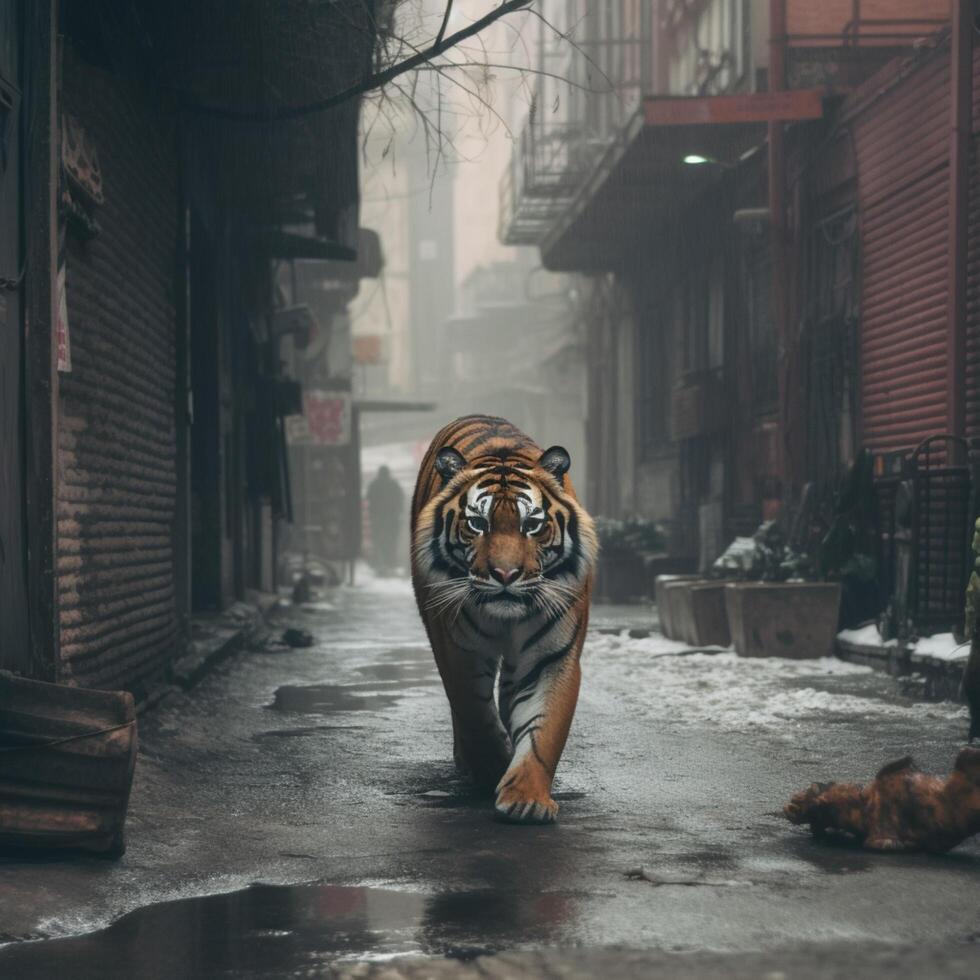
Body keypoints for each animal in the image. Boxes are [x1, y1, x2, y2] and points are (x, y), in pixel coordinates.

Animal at [412, 418, 596, 824]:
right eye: (477, 523)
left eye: (532, 525)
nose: (506, 574)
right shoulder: (459, 652)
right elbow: (475, 713)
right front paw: (493, 764)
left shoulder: (550, 657)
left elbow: (543, 730)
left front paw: (527, 799)